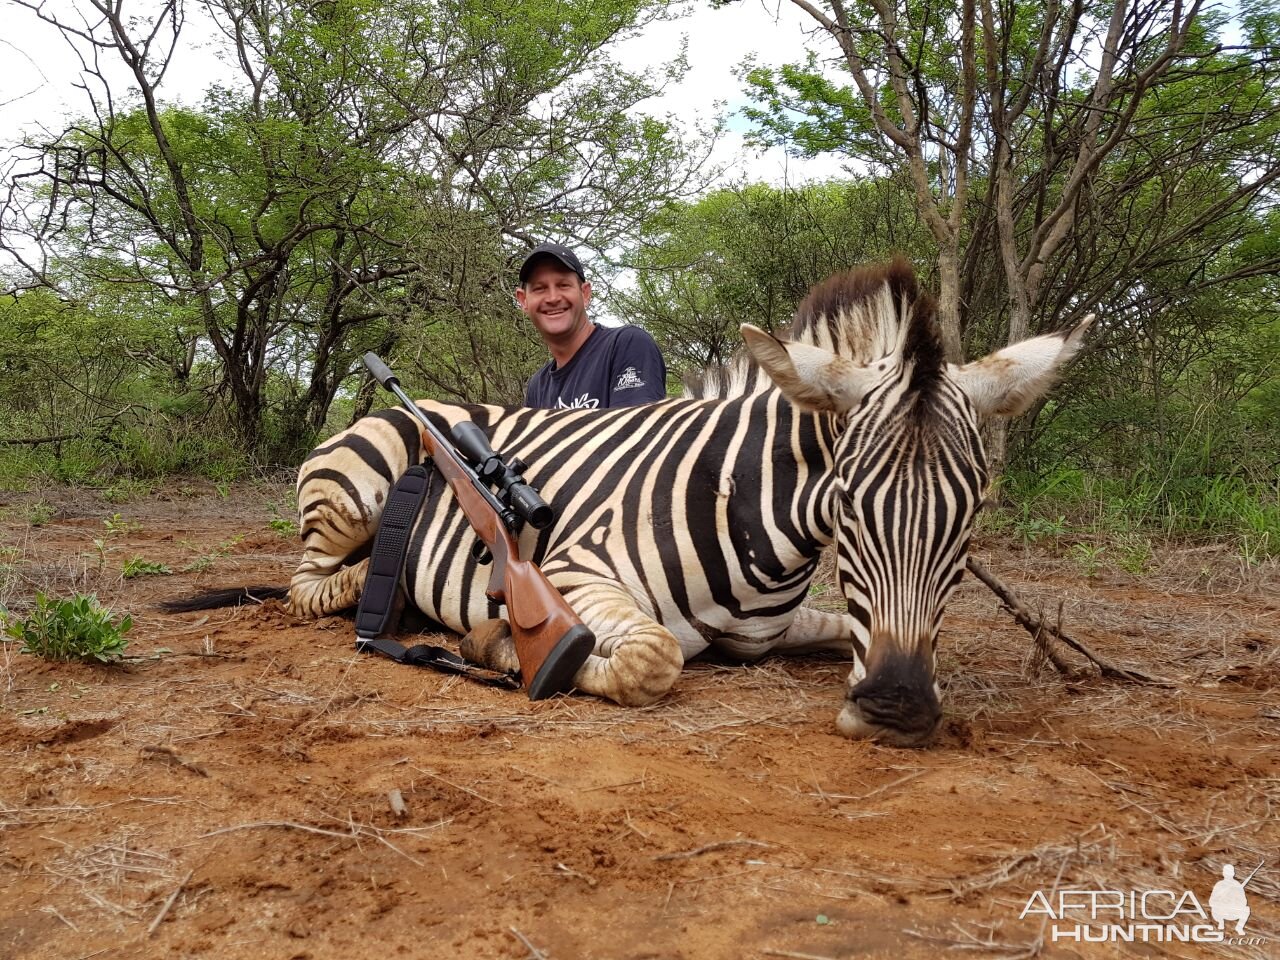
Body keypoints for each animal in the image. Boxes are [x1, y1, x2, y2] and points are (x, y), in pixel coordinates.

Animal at [272, 259, 1090, 747]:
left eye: (972, 516)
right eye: (849, 504)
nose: (897, 707)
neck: (745, 508)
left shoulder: (779, 631)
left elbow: (837, 633)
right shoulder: (571, 573)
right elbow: (648, 658)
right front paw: (496, 643)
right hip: (351, 500)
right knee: (306, 584)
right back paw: (385, 592)